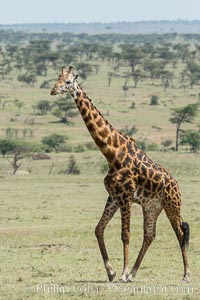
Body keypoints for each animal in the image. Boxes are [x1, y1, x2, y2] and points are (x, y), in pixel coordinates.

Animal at [50, 66, 191, 284]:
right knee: (150, 234)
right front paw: (112, 272)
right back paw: (134, 273)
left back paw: (185, 274)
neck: (111, 153)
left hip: (172, 205)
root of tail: (176, 184)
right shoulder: (114, 196)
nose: (53, 90)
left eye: (68, 82)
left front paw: (122, 273)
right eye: (57, 78)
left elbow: (125, 234)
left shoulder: (126, 197)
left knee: (180, 231)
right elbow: (99, 229)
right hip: (152, 207)